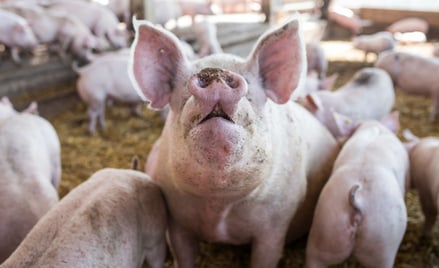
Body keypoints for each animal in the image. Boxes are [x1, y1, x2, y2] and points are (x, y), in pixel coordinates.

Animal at [128, 17, 340, 266]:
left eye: (250, 94)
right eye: (183, 94)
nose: (216, 74)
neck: (218, 204)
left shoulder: (276, 225)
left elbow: (265, 257)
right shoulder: (176, 221)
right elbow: (183, 255)